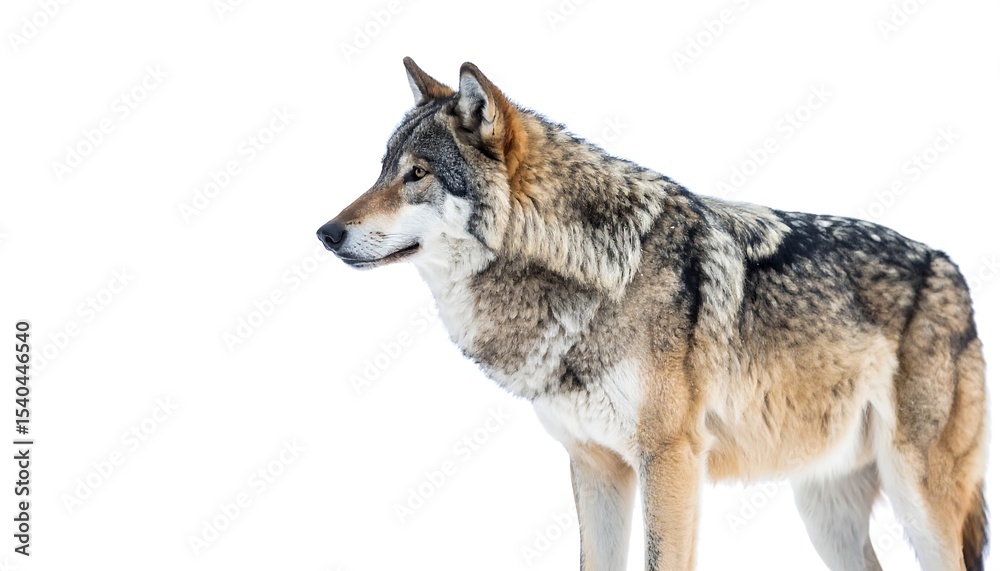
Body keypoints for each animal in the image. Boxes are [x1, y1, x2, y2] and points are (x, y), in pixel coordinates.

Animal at [317, 58, 989, 571]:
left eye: (418, 174)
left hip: (919, 496)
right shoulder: (596, 466)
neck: (594, 273)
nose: (326, 233)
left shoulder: (670, 459)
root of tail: (954, 270)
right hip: (827, 514)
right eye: (382, 170)